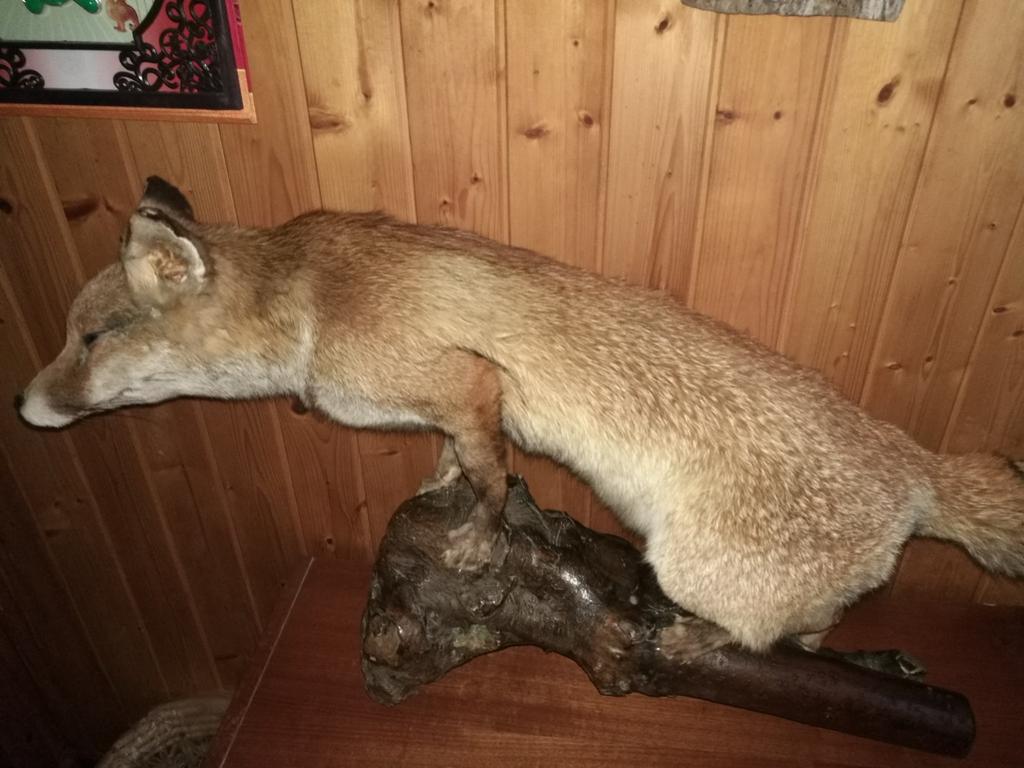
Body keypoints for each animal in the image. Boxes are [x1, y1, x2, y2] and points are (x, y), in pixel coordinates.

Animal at [17, 176, 1024, 657]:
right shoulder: (446, 404)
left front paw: (476, 535)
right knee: (824, 626)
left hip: (693, 565)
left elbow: (493, 476)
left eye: (90, 337)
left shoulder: (467, 380)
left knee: (768, 633)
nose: (23, 406)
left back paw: (694, 638)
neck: (313, 304)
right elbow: (454, 459)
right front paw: (439, 492)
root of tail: (919, 467)